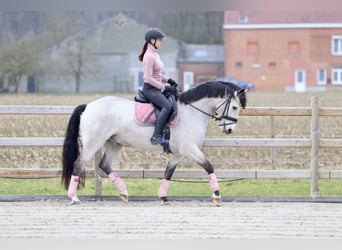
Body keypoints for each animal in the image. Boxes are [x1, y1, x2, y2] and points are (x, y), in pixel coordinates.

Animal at [61, 80, 247, 205]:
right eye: (235, 107)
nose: (229, 130)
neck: (191, 112)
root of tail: (88, 106)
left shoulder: (179, 153)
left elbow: (168, 173)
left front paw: (163, 197)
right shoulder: (189, 149)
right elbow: (209, 166)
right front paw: (217, 196)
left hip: (114, 144)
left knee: (104, 165)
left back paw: (124, 193)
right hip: (94, 143)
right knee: (78, 165)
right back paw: (74, 197)